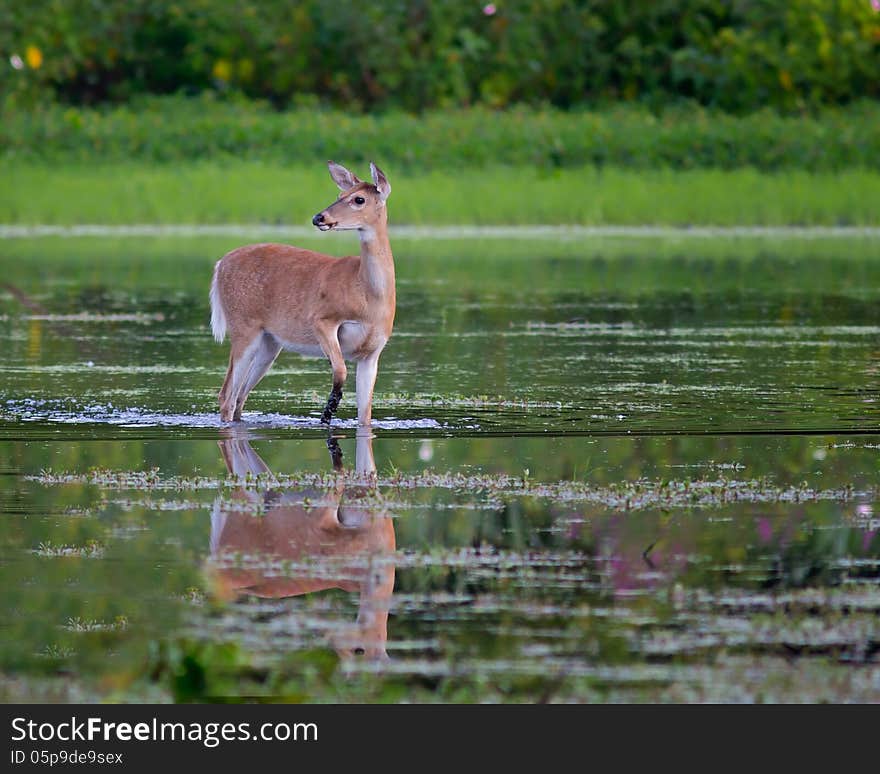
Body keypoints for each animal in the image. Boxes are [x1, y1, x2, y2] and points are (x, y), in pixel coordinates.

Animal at [208, 161, 394, 428]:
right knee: (227, 395)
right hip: (243, 325)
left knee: (240, 396)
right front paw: (327, 413)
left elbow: (365, 415)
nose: (319, 217)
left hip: (269, 342)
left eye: (359, 199)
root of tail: (220, 264)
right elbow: (340, 370)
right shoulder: (321, 319)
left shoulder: (372, 353)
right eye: (339, 195)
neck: (368, 297)